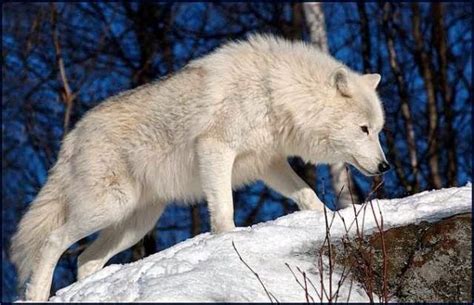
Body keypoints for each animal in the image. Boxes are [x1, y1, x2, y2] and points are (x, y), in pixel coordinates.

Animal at [10, 33, 388, 300]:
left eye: (378, 130)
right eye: (364, 129)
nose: (385, 166)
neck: (274, 90)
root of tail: (73, 134)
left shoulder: (269, 163)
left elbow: (308, 196)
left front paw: (327, 219)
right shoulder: (215, 149)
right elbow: (224, 210)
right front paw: (229, 242)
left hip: (137, 223)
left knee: (84, 260)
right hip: (108, 207)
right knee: (52, 242)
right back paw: (37, 294)